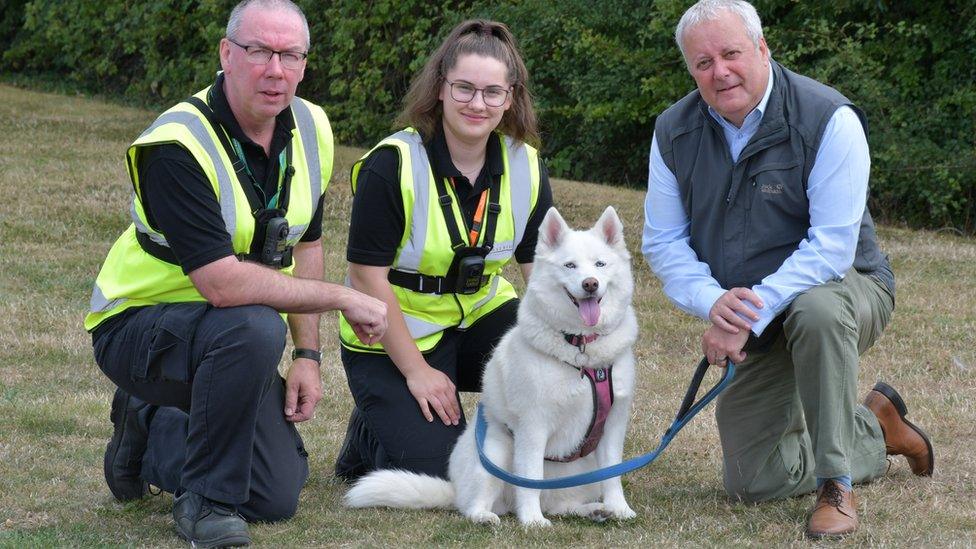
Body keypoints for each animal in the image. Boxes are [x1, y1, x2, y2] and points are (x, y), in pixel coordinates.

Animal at [346, 207, 640, 528]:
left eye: (600, 264)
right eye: (570, 265)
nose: (590, 284)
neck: (581, 351)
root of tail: (455, 488)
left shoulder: (612, 425)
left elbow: (613, 474)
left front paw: (619, 508)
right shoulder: (533, 427)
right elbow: (530, 479)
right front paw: (532, 520)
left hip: (583, 473)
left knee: (560, 504)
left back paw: (593, 510)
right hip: (494, 455)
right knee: (474, 505)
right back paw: (486, 516)